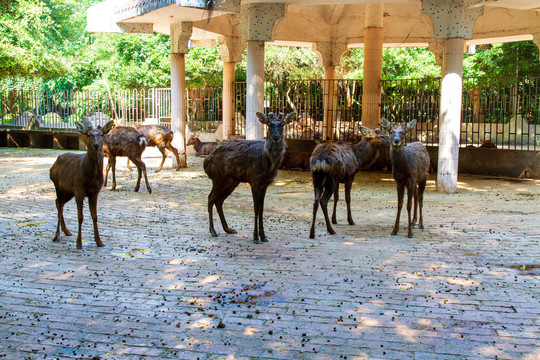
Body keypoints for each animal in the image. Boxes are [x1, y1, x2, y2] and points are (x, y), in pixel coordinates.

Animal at [50, 119, 114, 249]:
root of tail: (52, 167)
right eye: (88, 135)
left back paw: (66, 231)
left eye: (101, 134)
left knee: (58, 203)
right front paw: (79, 243)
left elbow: (95, 216)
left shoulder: (95, 192)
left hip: (68, 191)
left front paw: (99, 241)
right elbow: (80, 217)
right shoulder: (79, 190)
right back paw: (56, 235)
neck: (91, 177)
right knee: (59, 204)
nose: (96, 145)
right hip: (58, 185)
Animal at [204, 111, 298, 243]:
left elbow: (262, 209)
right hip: (218, 178)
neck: (267, 164)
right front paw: (255, 237)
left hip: (231, 181)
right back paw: (213, 231)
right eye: (269, 124)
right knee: (210, 198)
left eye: (282, 124)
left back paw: (228, 229)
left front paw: (263, 236)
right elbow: (256, 208)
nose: (275, 137)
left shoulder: (265, 183)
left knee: (219, 200)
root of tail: (206, 161)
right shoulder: (254, 179)